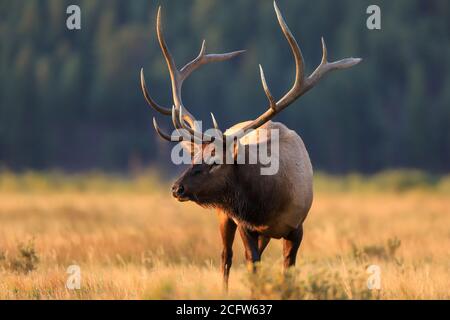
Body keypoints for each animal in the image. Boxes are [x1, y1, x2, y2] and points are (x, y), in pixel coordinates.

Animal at [141, 0, 362, 290]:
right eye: (194, 158)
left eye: (215, 161)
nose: (177, 188)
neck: (269, 203)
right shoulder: (245, 224)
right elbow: (251, 265)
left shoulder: (297, 227)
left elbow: (287, 270)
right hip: (225, 216)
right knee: (226, 256)